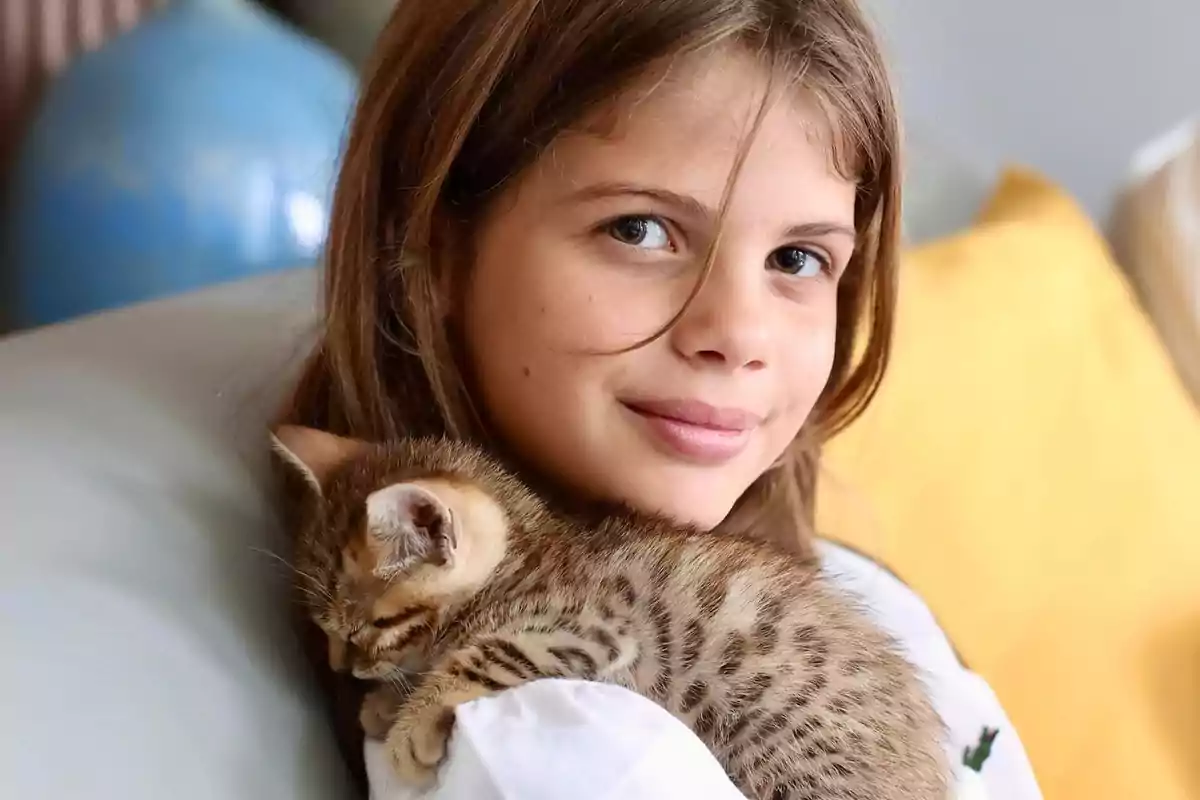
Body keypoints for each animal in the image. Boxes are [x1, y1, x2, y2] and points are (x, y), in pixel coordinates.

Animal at [272, 429, 945, 800]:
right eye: (326, 630)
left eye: (372, 628)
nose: (343, 667)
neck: (529, 558)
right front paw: (390, 702)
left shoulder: (595, 625)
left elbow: (488, 652)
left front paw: (411, 719)